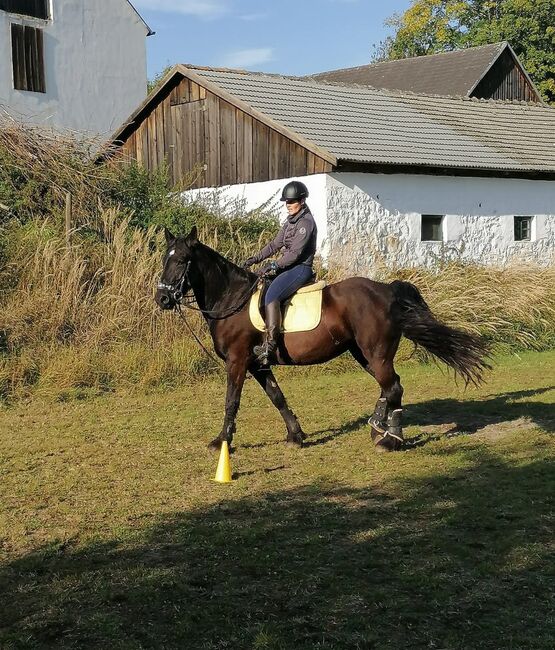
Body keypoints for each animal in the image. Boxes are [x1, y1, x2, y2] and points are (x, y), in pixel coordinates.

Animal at [155, 226, 489, 453]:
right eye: (164, 259)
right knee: (389, 387)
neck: (231, 299)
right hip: (363, 354)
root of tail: (386, 290)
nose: (162, 299)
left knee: (393, 386)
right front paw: (295, 436)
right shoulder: (258, 364)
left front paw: (222, 441)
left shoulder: (238, 361)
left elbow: (231, 401)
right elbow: (276, 396)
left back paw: (390, 439)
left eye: (182, 259)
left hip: (376, 352)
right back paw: (378, 429)